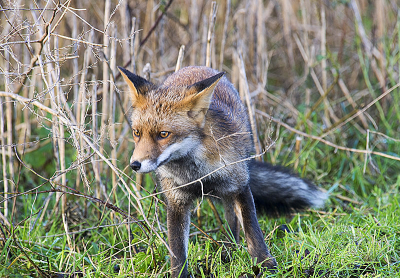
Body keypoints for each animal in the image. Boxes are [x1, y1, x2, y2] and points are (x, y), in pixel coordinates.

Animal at [117, 66, 326, 276]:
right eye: (136, 133)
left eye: (163, 134)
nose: (135, 164)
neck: (197, 174)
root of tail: (196, 67)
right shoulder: (177, 201)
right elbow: (177, 251)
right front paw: (179, 274)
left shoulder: (240, 186)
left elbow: (253, 231)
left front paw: (266, 265)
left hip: (229, 192)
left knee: (233, 225)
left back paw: (230, 253)